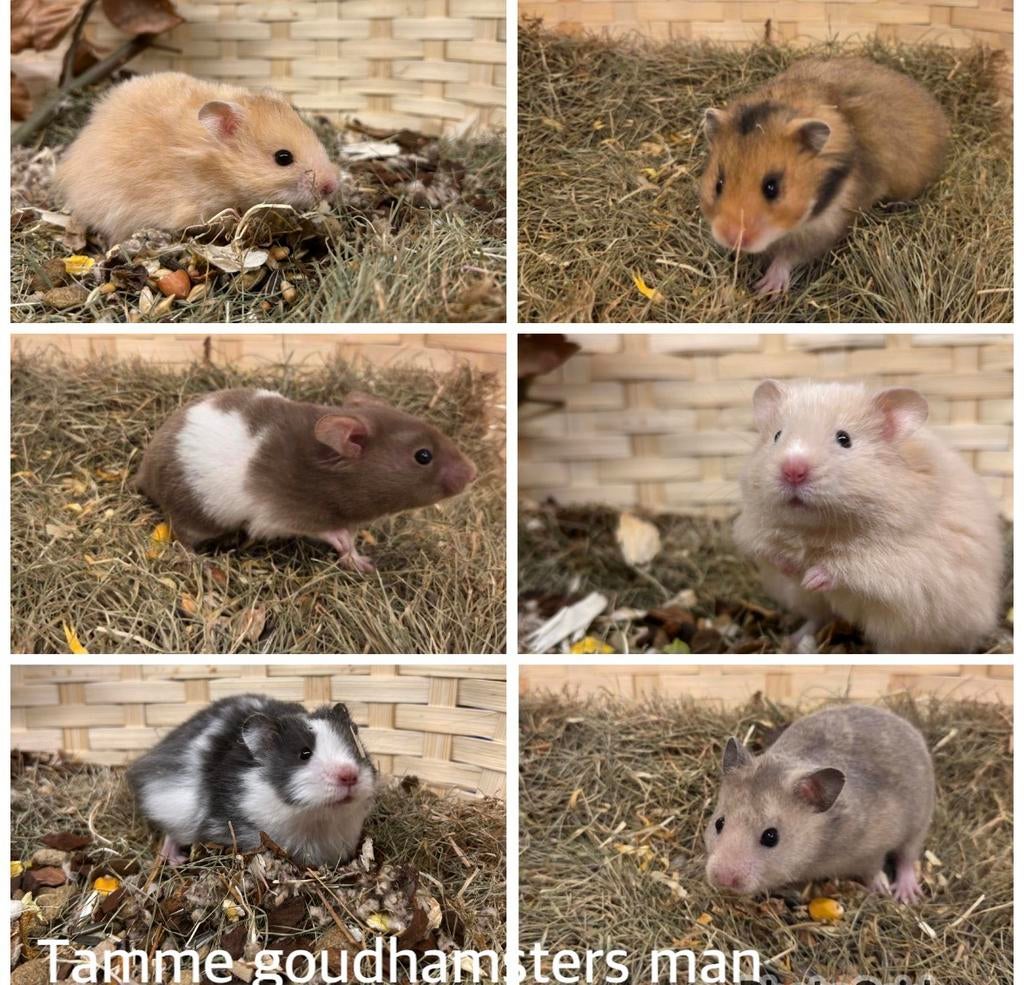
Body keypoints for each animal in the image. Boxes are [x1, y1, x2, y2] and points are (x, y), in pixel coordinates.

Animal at [127, 694, 377, 866]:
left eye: (356, 749)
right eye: (304, 754)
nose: (349, 775)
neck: (317, 820)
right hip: (173, 805)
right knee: (169, 833)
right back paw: (176, 860)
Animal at [134, 388, 477, 572]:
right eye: (423, 456)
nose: (474, 473)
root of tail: (144, 473)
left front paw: (362, 560)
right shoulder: (283, 515)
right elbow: (330, 532)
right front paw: (355, 556)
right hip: (194, 515)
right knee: (181, 537)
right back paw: (203, 563)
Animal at [700, 58, 948, 295]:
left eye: (772, 187)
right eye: (718, 184)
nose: (731, 238)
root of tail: (939, 113)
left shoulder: (825, 230)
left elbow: (788, 256)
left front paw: (766, 289)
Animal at [704, 704, 935, 904]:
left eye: (771, 837)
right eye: (719, 823)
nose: (723, 879)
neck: (817, 852)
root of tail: (904, 724)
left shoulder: (876, 844)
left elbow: (873, 869)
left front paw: (880, 888)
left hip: (920, 823)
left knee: (907, 858)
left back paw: (906, 895)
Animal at [733, 379, 1003, 653]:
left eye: (844, 439)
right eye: (777, 436)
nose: (792, 470)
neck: (818, 528)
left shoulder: (897, 562)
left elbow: (850, 567)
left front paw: (811, 577)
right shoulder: (752, 530)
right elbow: (770, 552)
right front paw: (792, 568)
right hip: (806, 602)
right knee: (818, 617)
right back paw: (793, 639)